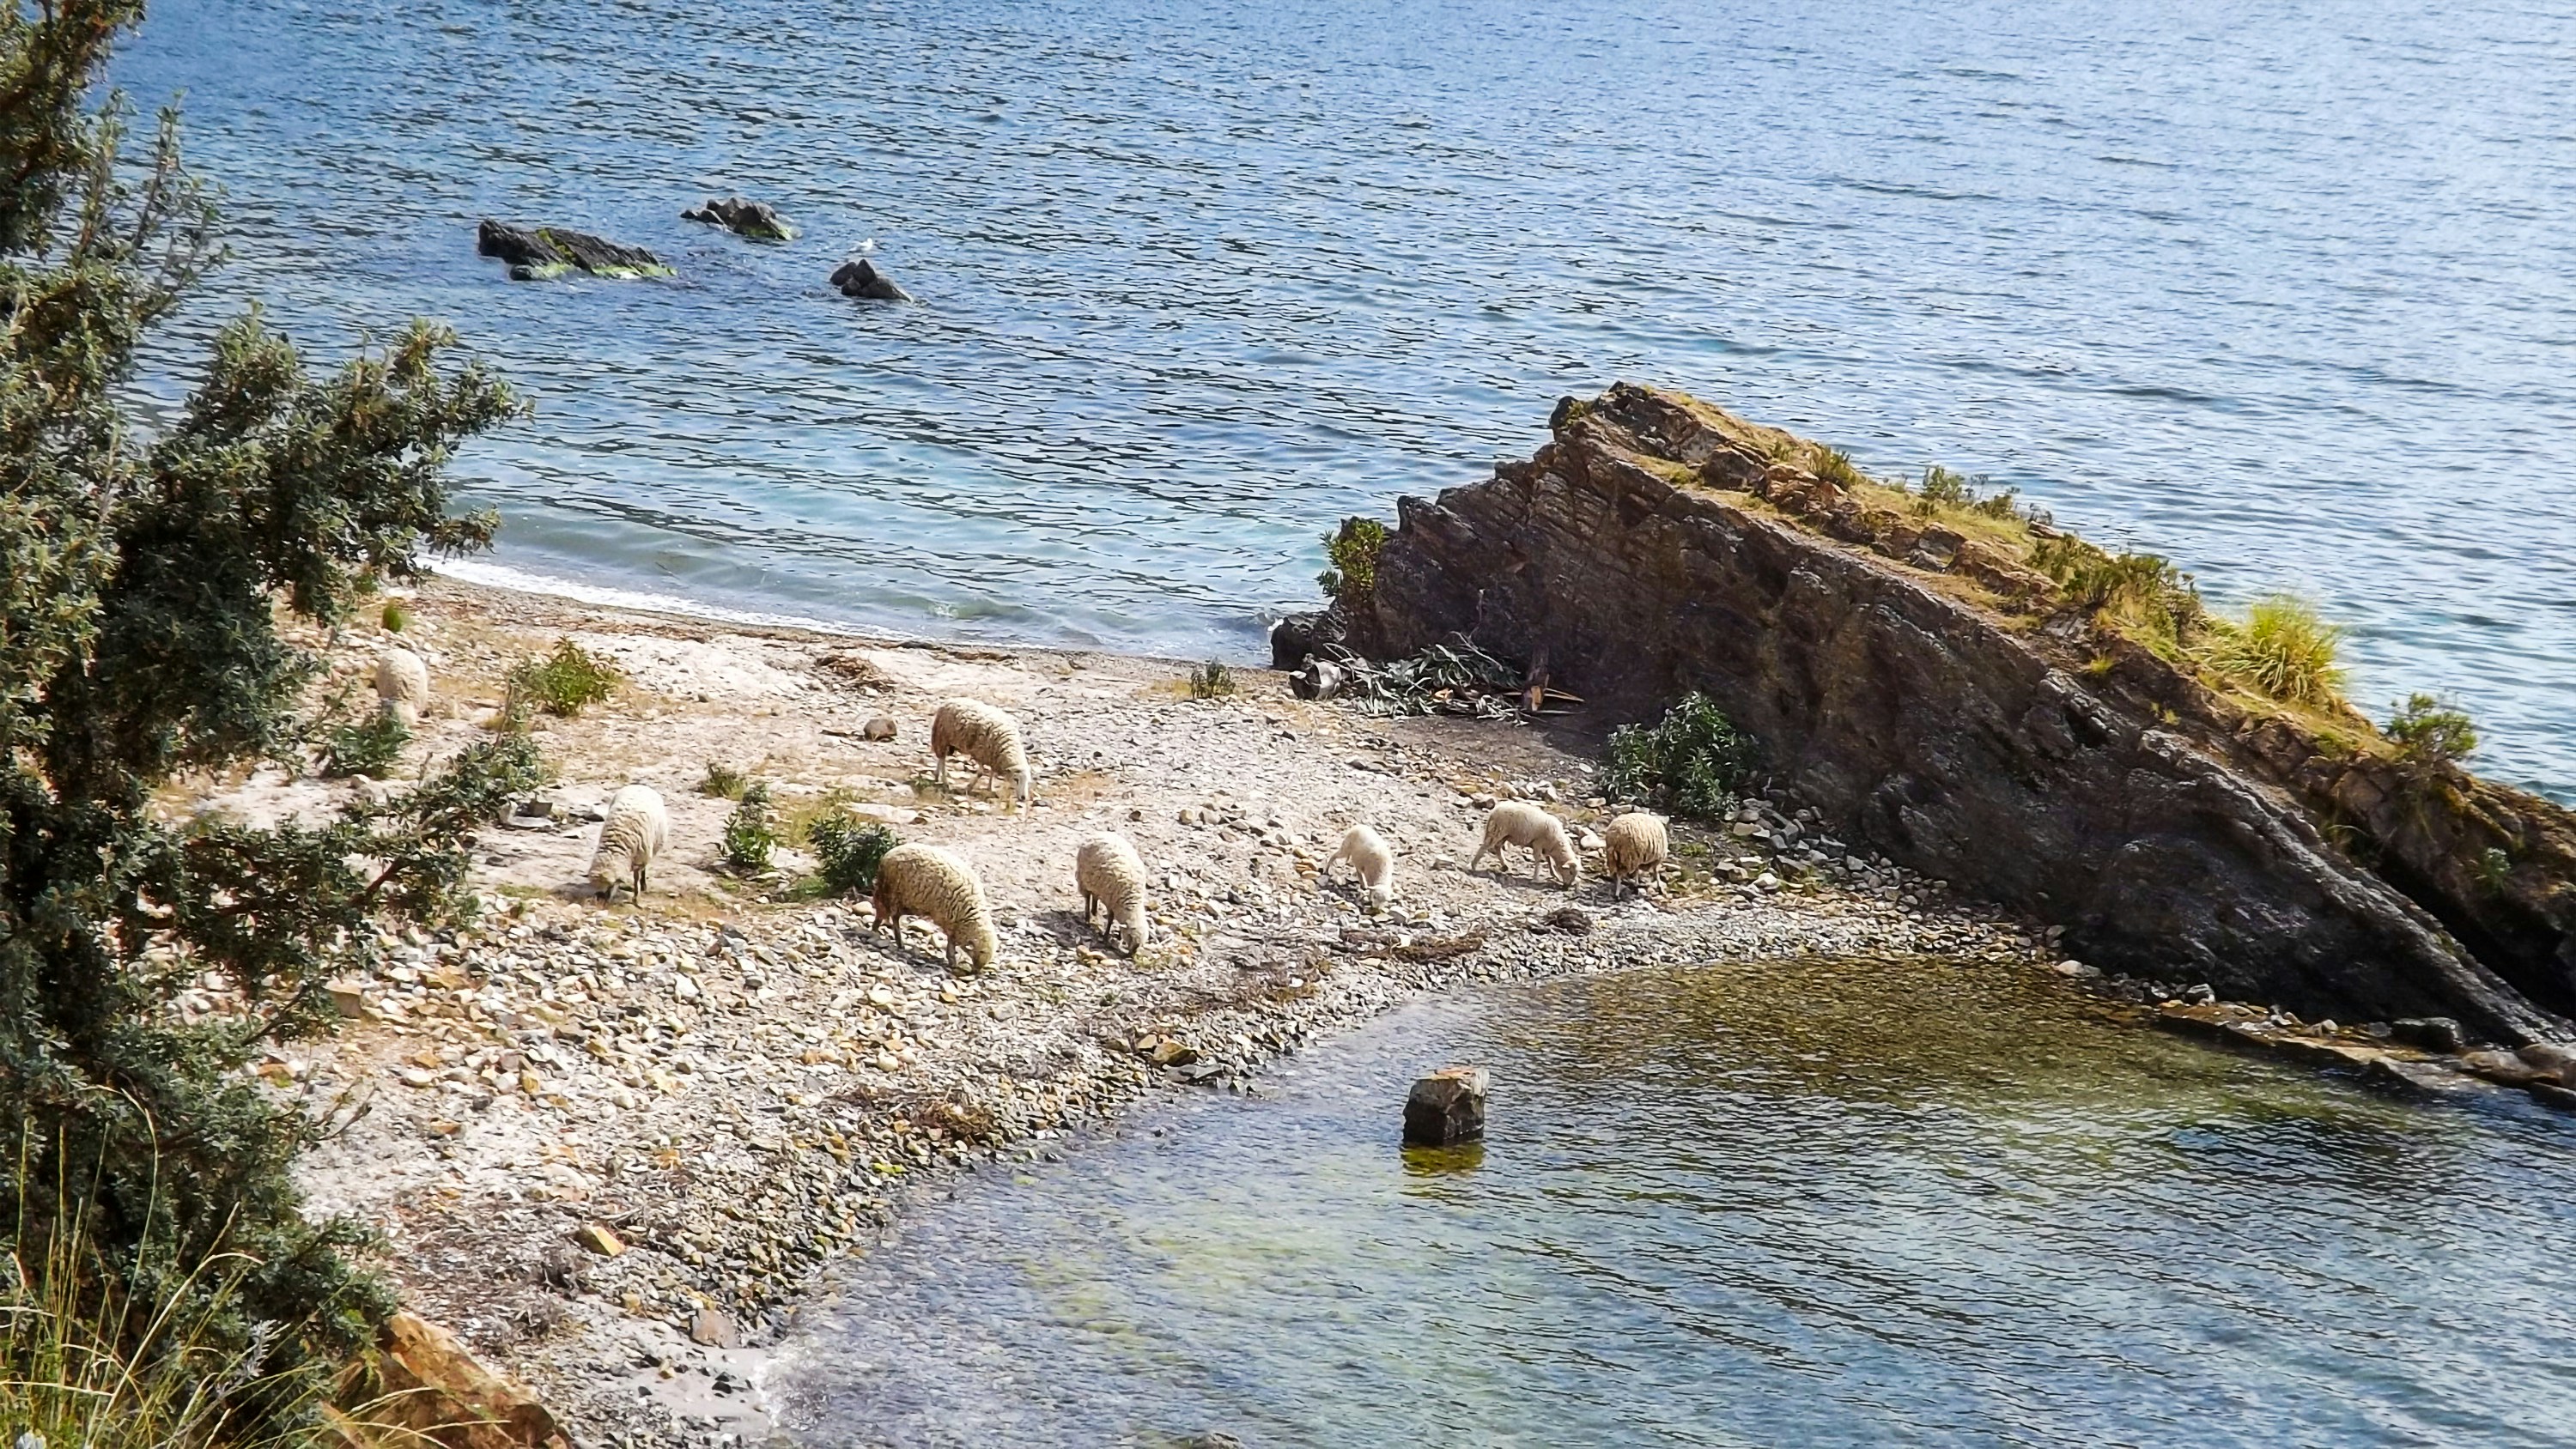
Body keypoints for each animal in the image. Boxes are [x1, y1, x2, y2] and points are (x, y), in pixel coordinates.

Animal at [587, 785, 669, 900]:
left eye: (610, 886)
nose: (601, 900)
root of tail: (639, 785)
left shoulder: (640, 860)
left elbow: (636, 877)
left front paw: (636, 896)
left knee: (644, 870)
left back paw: (643, 885)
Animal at [870, 842, 998, 972]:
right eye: (978, 953)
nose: (976, 971)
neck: (970, 913)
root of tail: (888, 854)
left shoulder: (953, 924)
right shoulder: (948, 920)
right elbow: (951, 941)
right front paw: (952, 960)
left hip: (906, 902)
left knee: (895, 916)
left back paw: (898, 941)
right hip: (890, 892)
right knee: (883, 910)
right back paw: (876, 930)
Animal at [930, 698, 1032, 809]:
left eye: (1028, 781)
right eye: (1016, 779)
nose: (1023, 798)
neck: (1008, 744)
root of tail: (951, 700)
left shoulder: (993, 756)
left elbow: (992, 772)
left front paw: (990, 787)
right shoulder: (980, 753)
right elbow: (981, 773)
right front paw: (969, 787)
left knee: (941, 757)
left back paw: (937, 775)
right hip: (942, 737)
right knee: (942, 759)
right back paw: (945, 781)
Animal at [1074, 832, 1153, 954]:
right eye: (1130, 937)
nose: (1131, 955)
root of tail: (1098, 833)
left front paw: (1118, 936)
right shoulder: (1111, 902)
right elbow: (1111, 919)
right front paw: (1106, 936)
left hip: (1097, 882)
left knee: (1095, 896)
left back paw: (1094, 912)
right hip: (1083, 878)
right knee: (1087, 897)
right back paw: (1087, 918)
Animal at [1470, 800, 1580, 886]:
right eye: (1570, 872)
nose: (1567, 886)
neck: (1557, 845)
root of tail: (1494, 810)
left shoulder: (1546, 848)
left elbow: (1549, 861)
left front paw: (1554, 874)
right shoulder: (1538, 843)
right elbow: (1538, 860)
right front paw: (1536, 878)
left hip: (1505, 835)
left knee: (1497, 848)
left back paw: (1505, 866)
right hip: (1497, 831)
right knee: (1485, 846)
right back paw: (1473, 865)